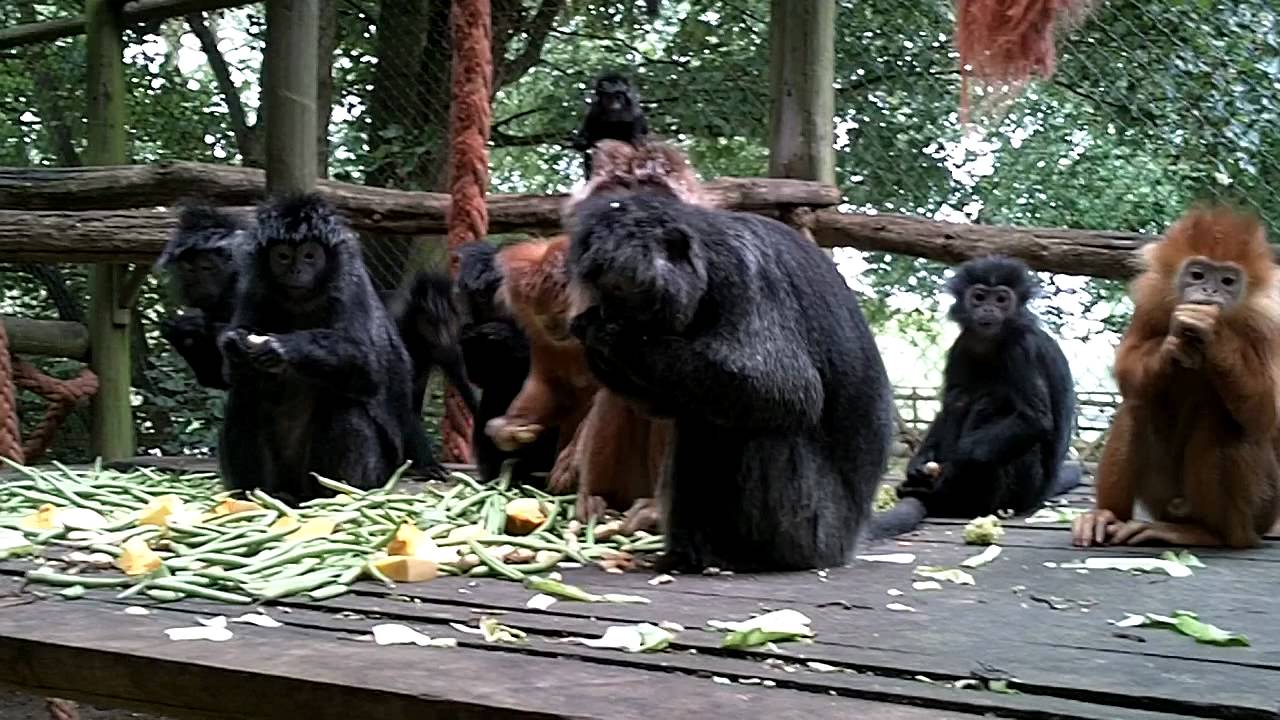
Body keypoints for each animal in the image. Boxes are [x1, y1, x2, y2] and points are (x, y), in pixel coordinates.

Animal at [217, 193, 437, 502]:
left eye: (310, 255)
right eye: (283, 256)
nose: (296, 270)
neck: (302, 303)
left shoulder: (350, 287)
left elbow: (370, 369)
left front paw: (287, 347)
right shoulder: (255, 291)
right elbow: (234, 373)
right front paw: (234, 345)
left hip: (373, 475)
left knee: (343, 404)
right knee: (245, 395)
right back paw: (261, 496)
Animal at [568, 190, 890, 571]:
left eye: (624, 294)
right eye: (605, 294)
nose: (610, 314)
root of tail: (851, 539)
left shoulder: (746, 275)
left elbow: (785, 390)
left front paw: (619, 340)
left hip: (818, 531)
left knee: (765, 427)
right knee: (701, 422)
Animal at [870, 254, 1080, 535]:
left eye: (1001, 299)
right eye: (979, 297)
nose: (988, 310)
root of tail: (1041, 496)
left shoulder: (1021, 348)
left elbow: (1035, 419)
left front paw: (950, 470)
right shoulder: (963, 343)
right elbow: (948, 402)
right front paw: (918, 464)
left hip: (1021, 491)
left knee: (990, 402)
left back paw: (949, 498)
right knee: (960, 398)